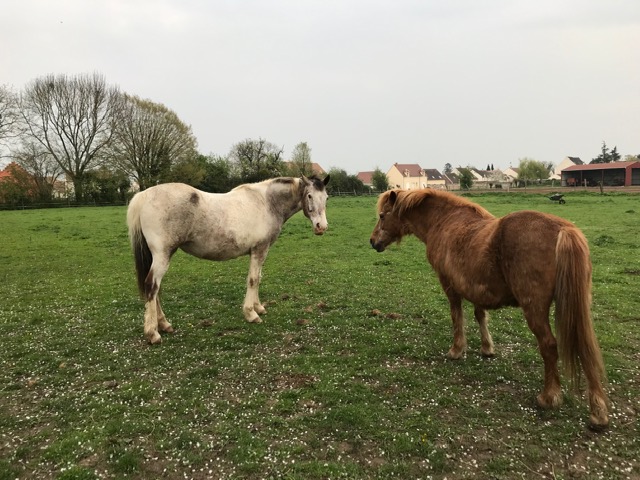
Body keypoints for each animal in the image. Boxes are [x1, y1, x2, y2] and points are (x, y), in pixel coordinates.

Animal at [128, 174, 332, 344]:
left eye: (326, 197)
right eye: (309, 196)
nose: (321, 227)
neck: (267, 203)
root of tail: (144, 195)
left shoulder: (261, 251)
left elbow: (258, 278)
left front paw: (259, 307)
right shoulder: (259, 249)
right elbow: (253, 279)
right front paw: (251, 314)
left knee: (155, 290)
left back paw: (164, 324)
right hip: (162, 255)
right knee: (151, 286)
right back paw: (153, 333)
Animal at [368, 189, 608, 430]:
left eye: (382, 215)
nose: (372, 241)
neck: (445, 222)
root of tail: (563, 229)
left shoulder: (449, 286)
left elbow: (457, 316)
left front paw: (456, 350)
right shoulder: (476, 288)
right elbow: (480, 315)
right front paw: (487, 348)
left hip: (535, 309)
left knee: (549, 346)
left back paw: (549, 397)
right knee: (586, 348)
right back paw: (598, 412)